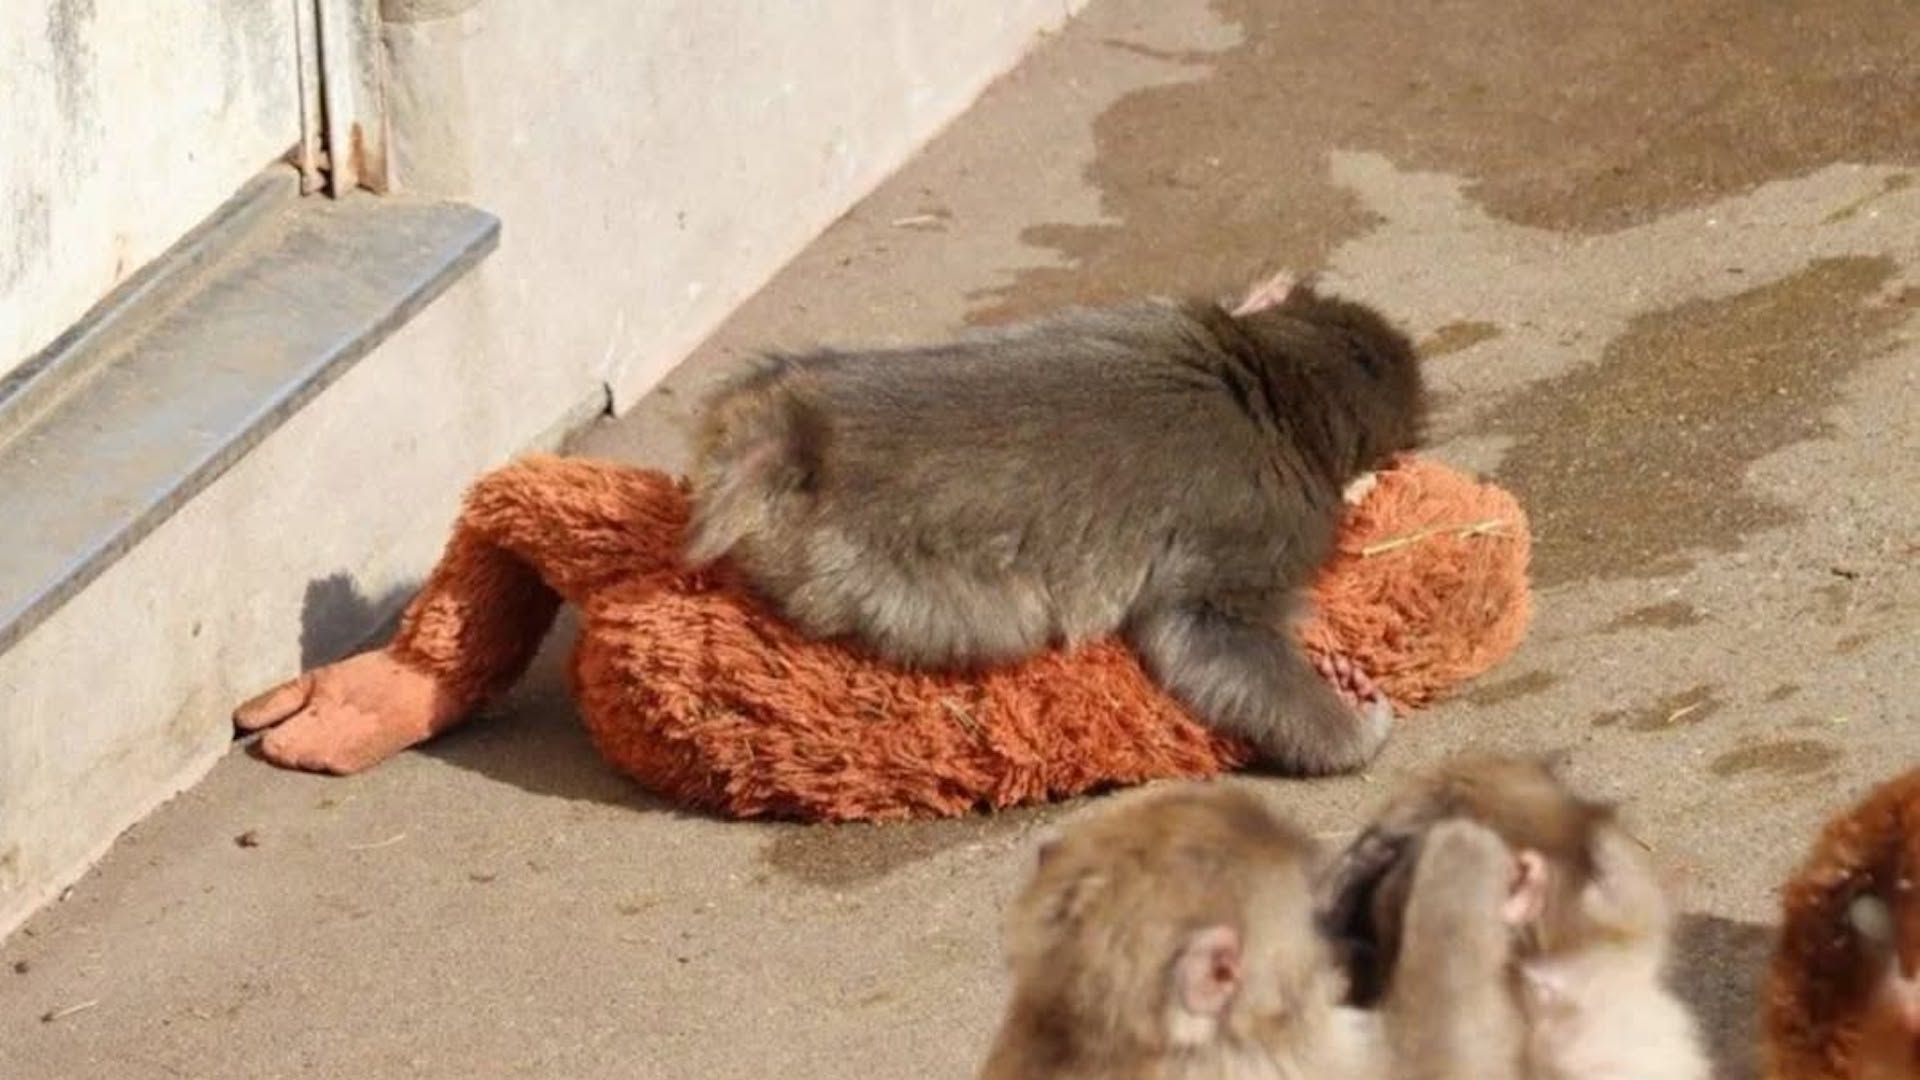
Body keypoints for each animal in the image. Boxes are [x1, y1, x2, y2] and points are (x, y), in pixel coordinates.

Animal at [684, 274, 1427, 775]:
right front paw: (1352, 725)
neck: (1271, 380)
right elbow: (1208, 633)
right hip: (868, 575)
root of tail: (800, 433)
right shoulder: (1270, 522)